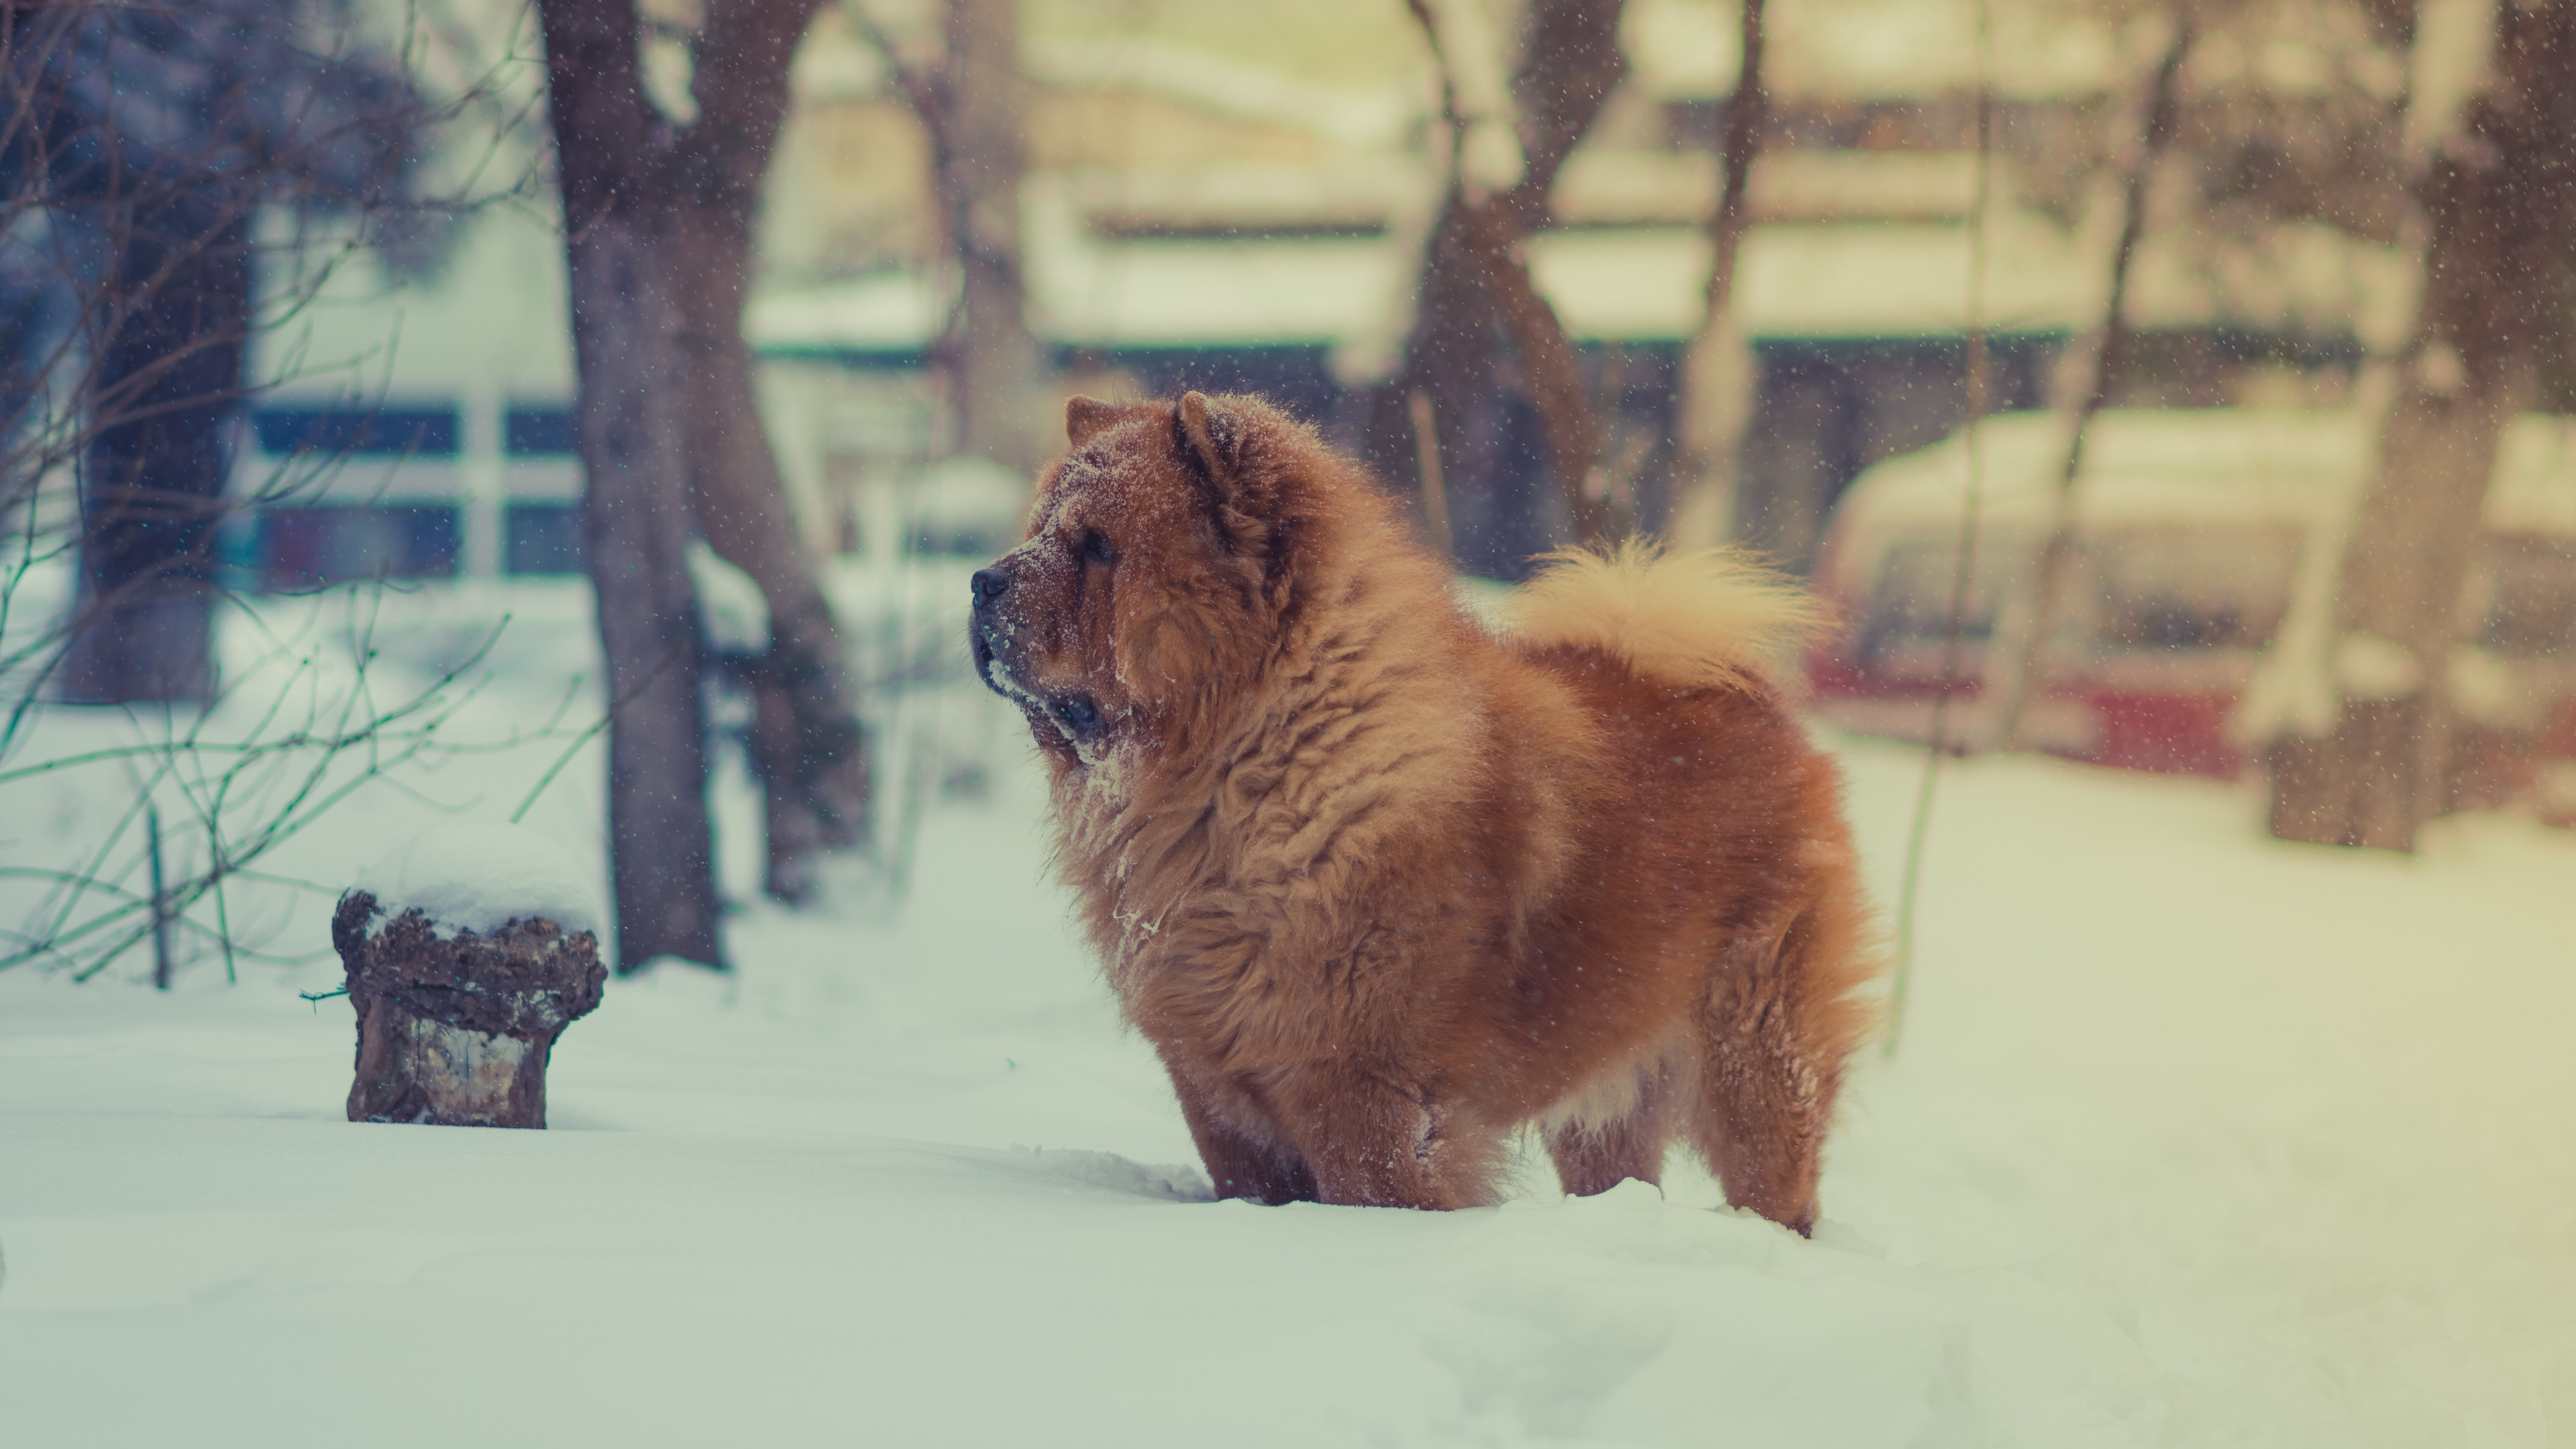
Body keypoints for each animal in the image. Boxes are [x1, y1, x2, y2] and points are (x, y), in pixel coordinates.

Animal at [968, 389, 1875, 1222]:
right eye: (1039, 531)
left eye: (1098, 547)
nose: (981, 580)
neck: (1227, 781)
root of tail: (1755, 702)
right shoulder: (1215, 1088)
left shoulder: (1363, 1087)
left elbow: (1375, 1191)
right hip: (1606, 1097)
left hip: (1754, 1060)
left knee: (1778, 1183)